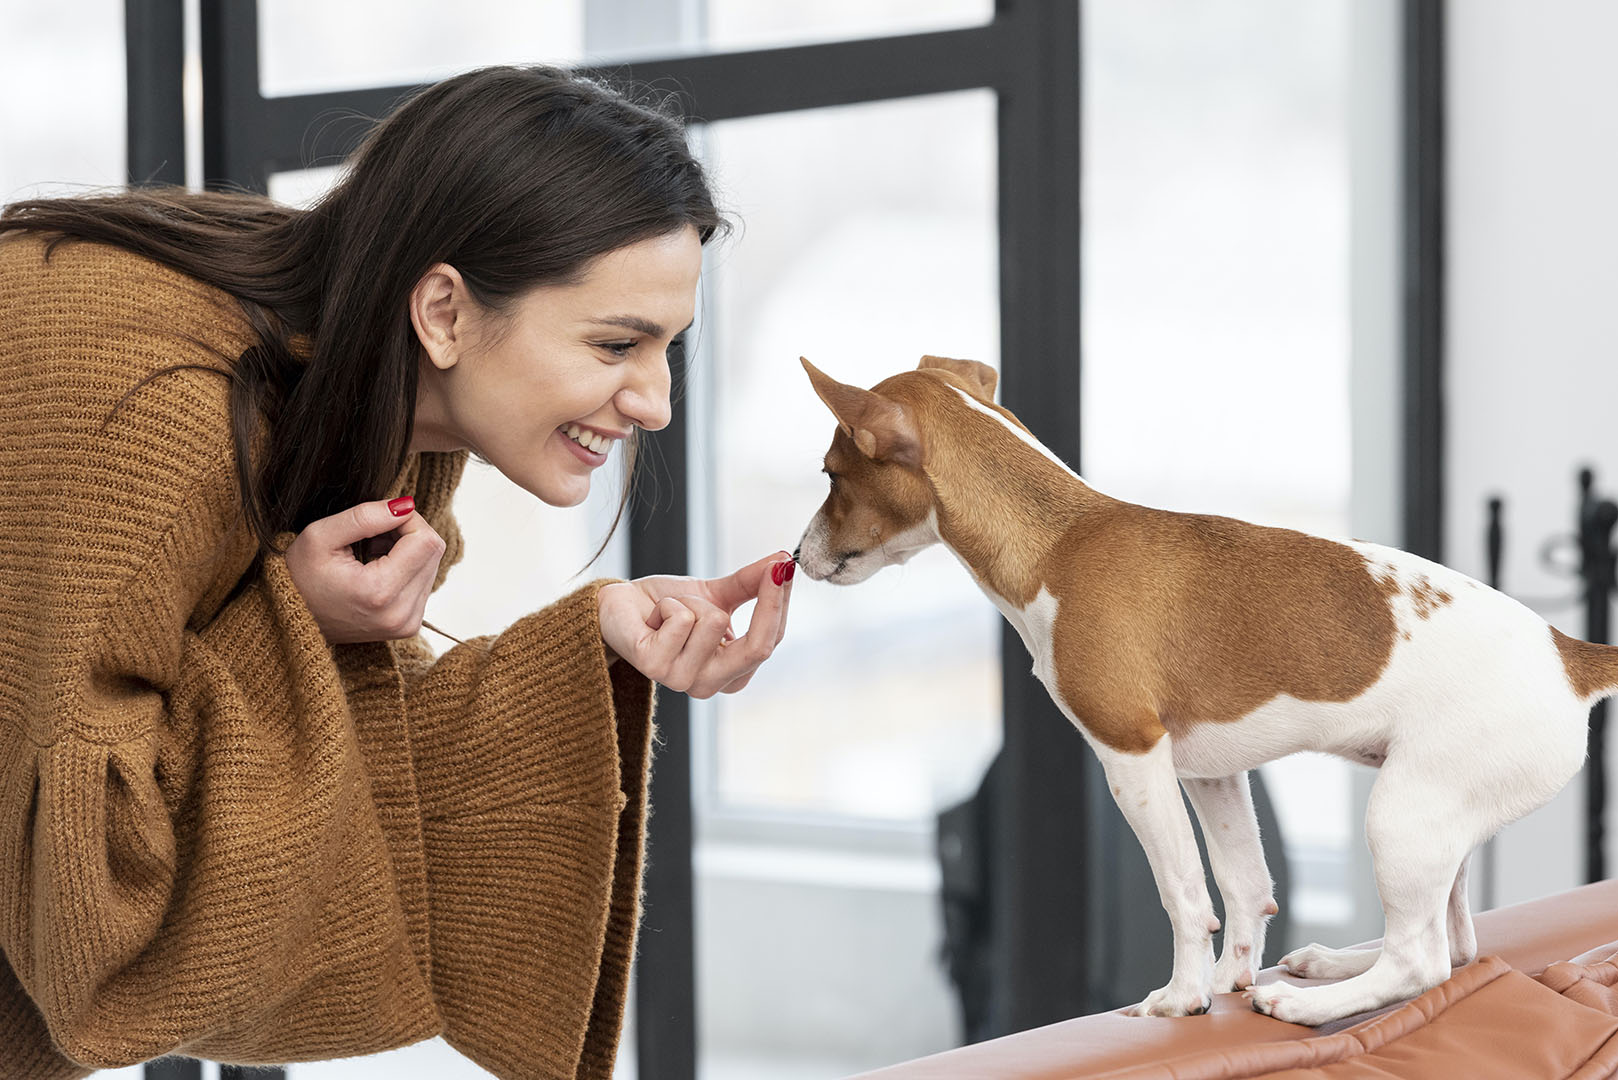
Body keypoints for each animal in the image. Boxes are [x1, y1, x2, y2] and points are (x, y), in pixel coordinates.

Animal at [789, 356, 1598, 1029]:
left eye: (829, 475)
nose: (795, 556)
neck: (1059, 542)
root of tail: (1574, 657)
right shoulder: (1212, 773)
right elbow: (1244, 885)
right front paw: (1230, 978)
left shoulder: (1133, 760)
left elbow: (1183, 894)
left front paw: (1182, 997)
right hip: (1439, 827)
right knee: (1455, 943)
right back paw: (1330, 963)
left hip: (1403, 816)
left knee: (1422, 961)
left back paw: (1310, 1003)